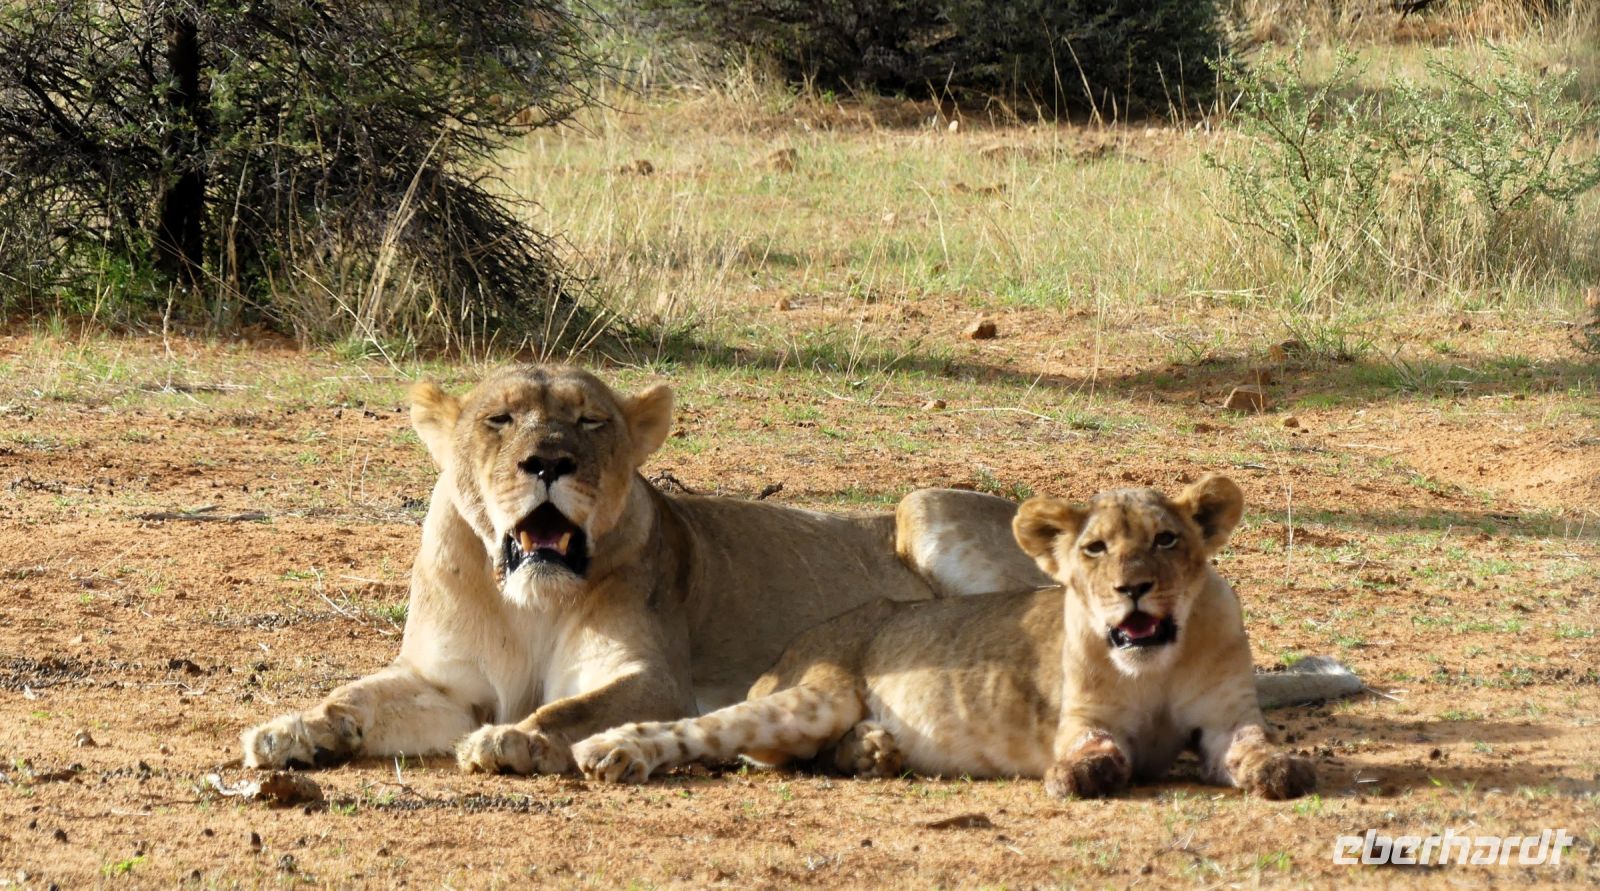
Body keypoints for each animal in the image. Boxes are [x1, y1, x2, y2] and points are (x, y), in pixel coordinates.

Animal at [240, 364, 1050, 773]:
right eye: (500, 419)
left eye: (590, 420)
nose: (548, 462)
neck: (527, 603)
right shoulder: (447, 685)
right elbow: (355, 695)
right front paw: (291, 731)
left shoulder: (654, 677)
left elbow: (570, 709)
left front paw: (514, 740)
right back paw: (869, 746)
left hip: (922, 507)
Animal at [571, 475, 1320, 799]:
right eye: (1096, 548)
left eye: (1167, 540)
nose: (1131, 588)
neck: (1155, 661)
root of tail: (796, 646)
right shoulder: (1084, 721)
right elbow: (1098, 754)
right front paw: (1079, 777)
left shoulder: (1224, 720)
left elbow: (1254, 747)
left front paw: (1280, 771)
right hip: (814, 694)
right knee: (708, 731)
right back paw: (609, 750)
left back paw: (872, 751)